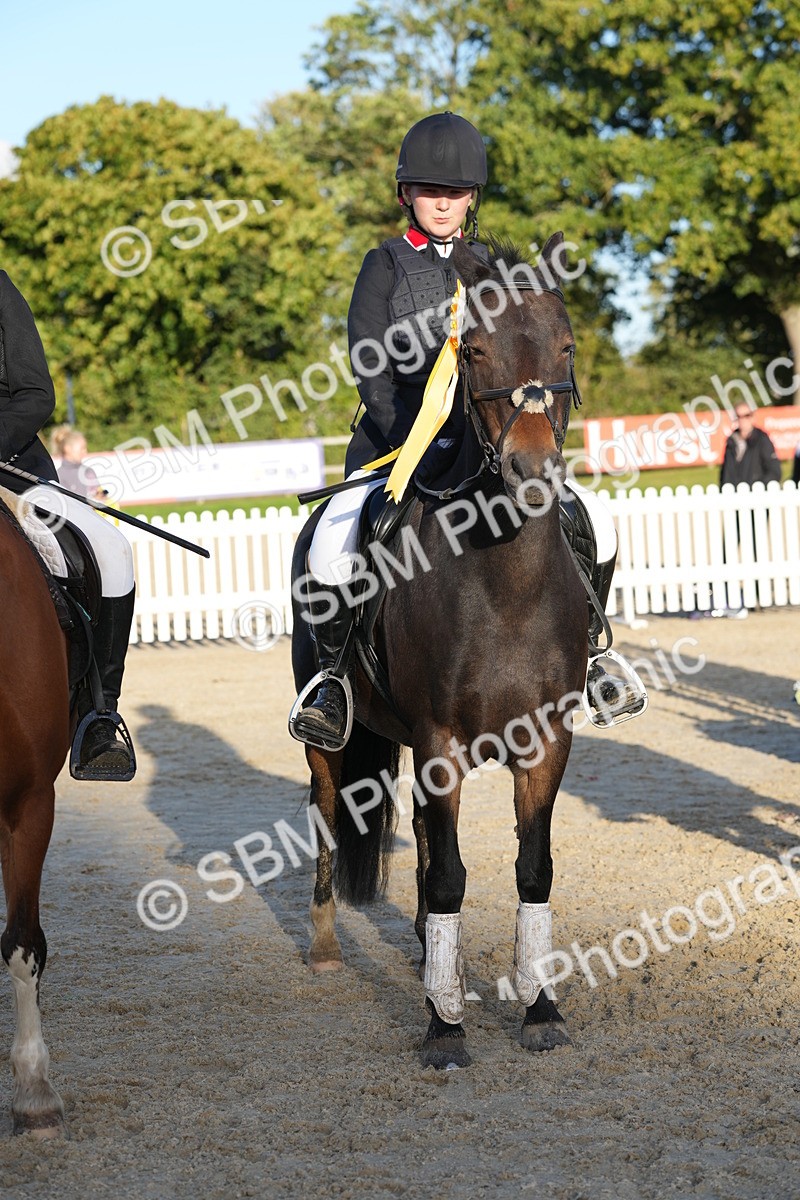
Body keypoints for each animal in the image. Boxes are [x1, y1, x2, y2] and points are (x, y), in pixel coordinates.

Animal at [291, 233, 589, 1067]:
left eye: (565, 345)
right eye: (476, 349)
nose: (531, 472)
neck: (505, 582)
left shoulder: (545, 742)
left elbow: (531, 869)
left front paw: (540, 1010)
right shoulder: (438, 740)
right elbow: (453, 875)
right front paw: (444, 1028)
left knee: (425, 842)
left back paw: (431, 957)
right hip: (333, 740)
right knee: (329, 817)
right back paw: (329, 947)